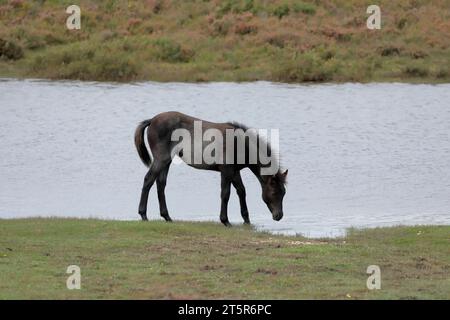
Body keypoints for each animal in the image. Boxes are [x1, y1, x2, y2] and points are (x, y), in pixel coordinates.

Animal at [134, 111, 288, 226]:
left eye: (284, 193)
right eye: (274, 192)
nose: (279, 215)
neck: (241, 144)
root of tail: (152, 120)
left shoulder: (234, 171)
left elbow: (241, 191)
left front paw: (247, 220)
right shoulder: (226, 171)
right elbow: (225, 193)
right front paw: (225, 221)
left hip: (167, 161)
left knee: (160, 184)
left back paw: (167, 217)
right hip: (161, 159)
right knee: (148, 180)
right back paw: (143, 215)